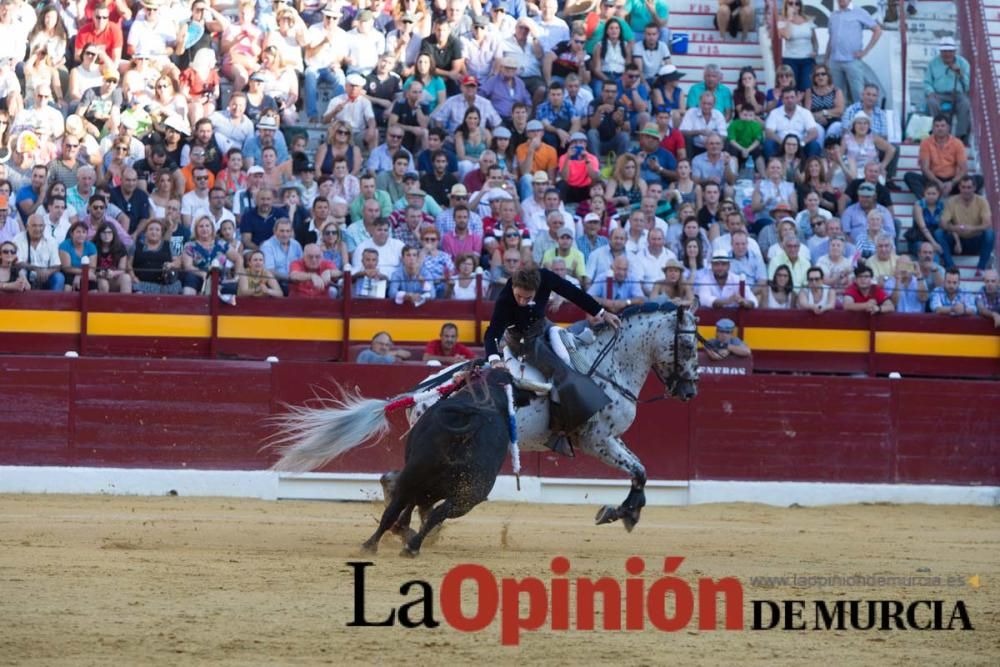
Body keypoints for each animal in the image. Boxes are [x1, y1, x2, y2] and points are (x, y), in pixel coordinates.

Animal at [270, 306, 700, 536]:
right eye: (689, 342)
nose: (690, 390)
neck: (605, 364)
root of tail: (422, 391)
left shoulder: (611, 438)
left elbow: (641, 470)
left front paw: (623, 512)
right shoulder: (596, 439)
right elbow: (639, 471)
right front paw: (621, 514)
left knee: (400, 484)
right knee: (408, 486)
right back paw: (413, 529)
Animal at [362, 368, 516, 556]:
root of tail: (471, 418)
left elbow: (411, 506)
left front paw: (403, 529)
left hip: (419, 477)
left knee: (397, 509)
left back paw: (374, 545)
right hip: (468, 495)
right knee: (436, 513)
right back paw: (410, 545)